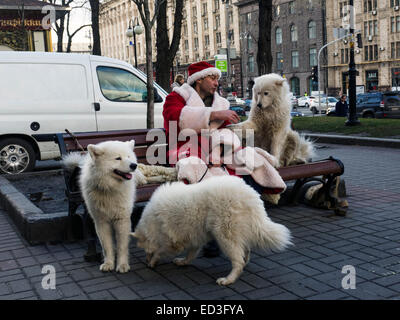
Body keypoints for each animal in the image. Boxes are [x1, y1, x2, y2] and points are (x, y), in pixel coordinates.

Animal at [64, 139, 139, 272]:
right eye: (118, 158)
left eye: (129, 157)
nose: (134, 165)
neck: (109, 189)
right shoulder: (101, 221)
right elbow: (106, 246)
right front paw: (108, 263)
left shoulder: (122, 219)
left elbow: (122, 246)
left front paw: (122, 265)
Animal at [131, 176, 290, 286]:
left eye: (144, 250)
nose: (145, 260)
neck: (153, 221)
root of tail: (252, 196)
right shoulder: (193, 235)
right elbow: (191, 253)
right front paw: (183, 262)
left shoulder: (173, 239)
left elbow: (161, 250)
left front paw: (153, 261)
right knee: (245, 251)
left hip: (224, 235)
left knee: (237, 261)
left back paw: (228, 279)